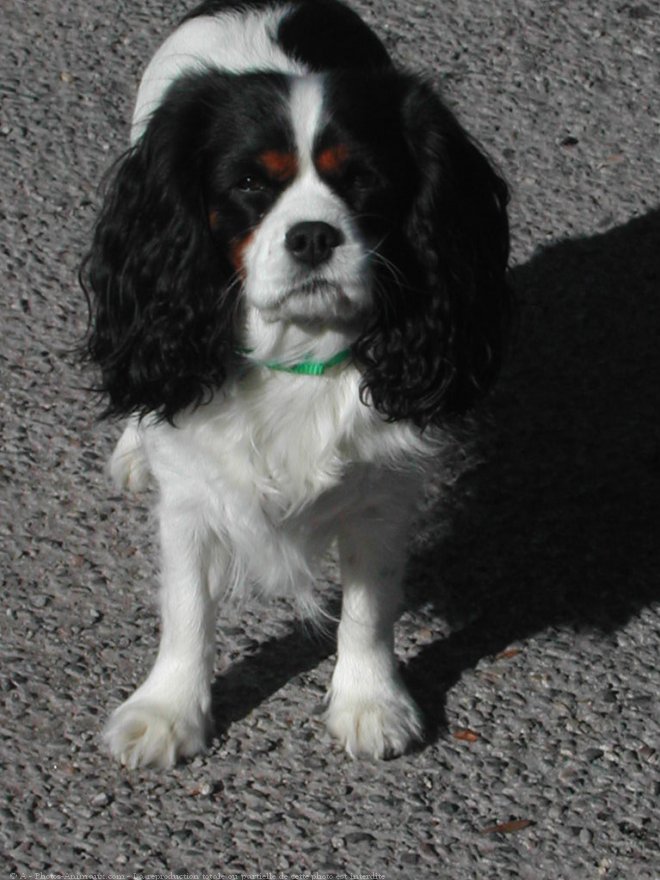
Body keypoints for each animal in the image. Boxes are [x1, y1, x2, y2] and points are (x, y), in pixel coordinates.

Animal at [81, 0, 510, 768]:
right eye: (252, 184)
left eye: (363, 180)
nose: (312, 235)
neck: (299, 348)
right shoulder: (192, 494)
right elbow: (186, 606)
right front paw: (168, 712)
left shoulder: (381, 493)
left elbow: (370, 605)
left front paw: (370, 702)